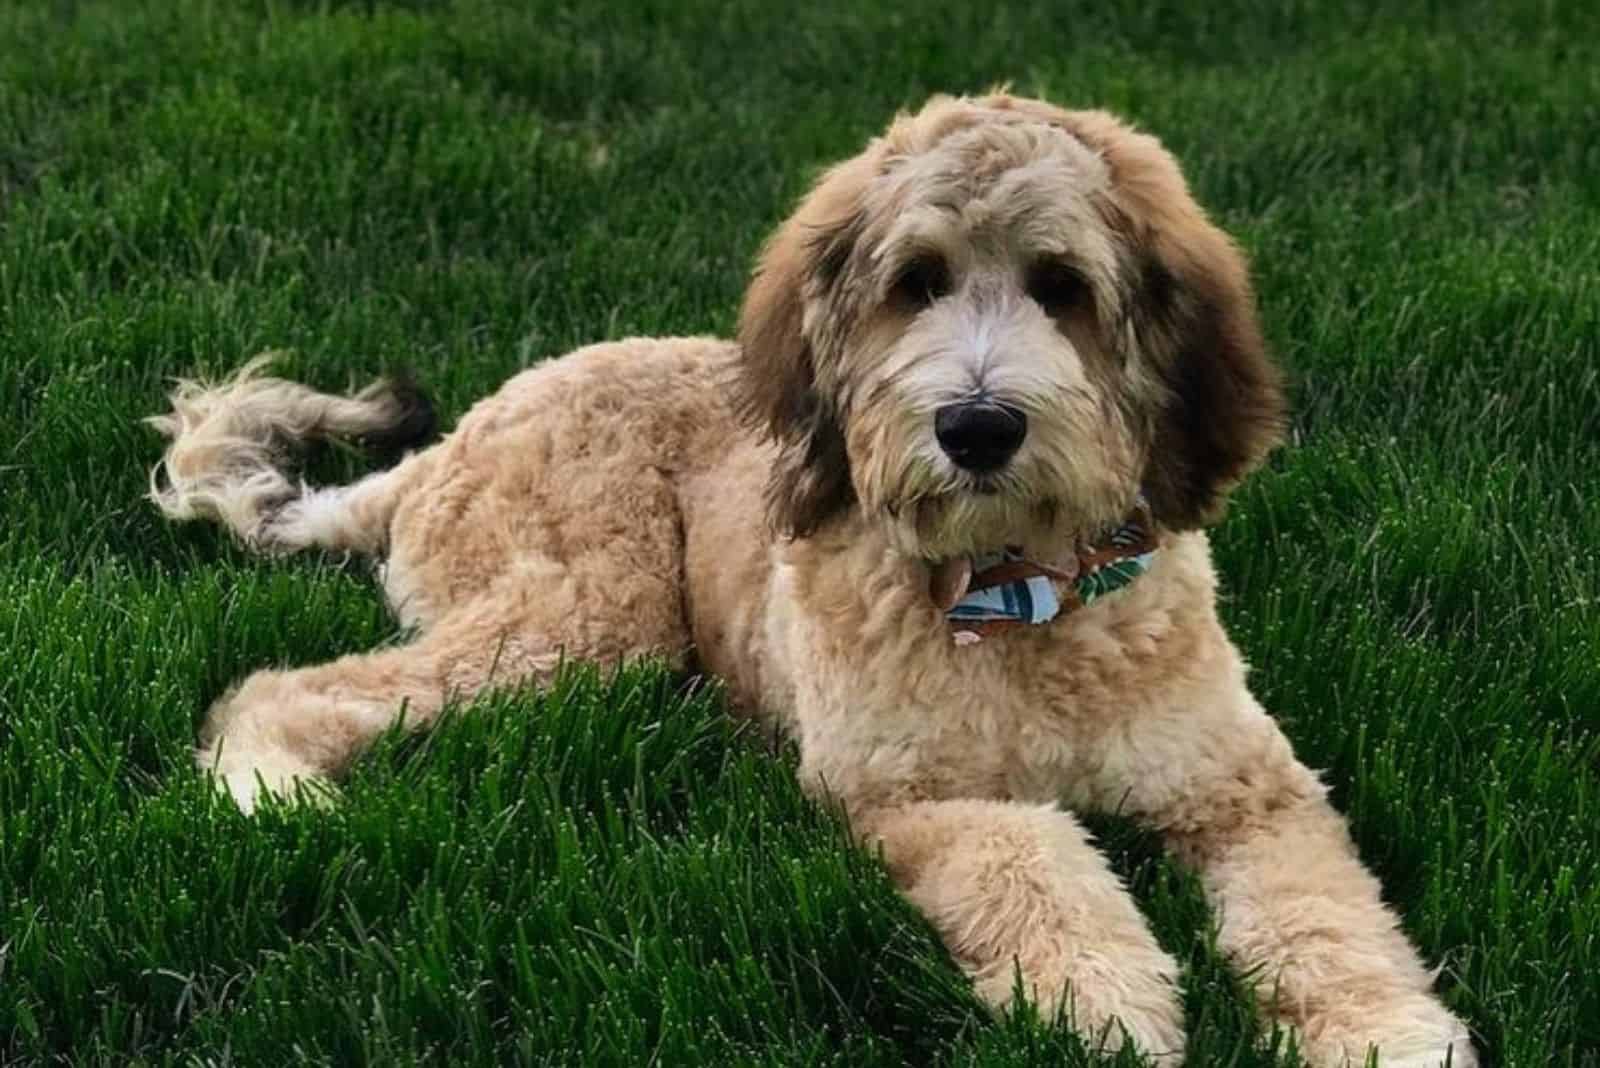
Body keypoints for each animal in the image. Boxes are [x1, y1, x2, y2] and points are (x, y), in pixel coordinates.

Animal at [147, 93, 1472, 1068]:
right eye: (916, 281)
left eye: (1061, 286)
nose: (975, 428)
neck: (1017, 600)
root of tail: (456, 439)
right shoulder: (901, 790)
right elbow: (1033, 866)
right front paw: (1103, 1002)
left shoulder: (1248, 789)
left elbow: (1327, 917)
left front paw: (1390, 1037)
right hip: (588, 614)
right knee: (280, 687)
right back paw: (270, 792)